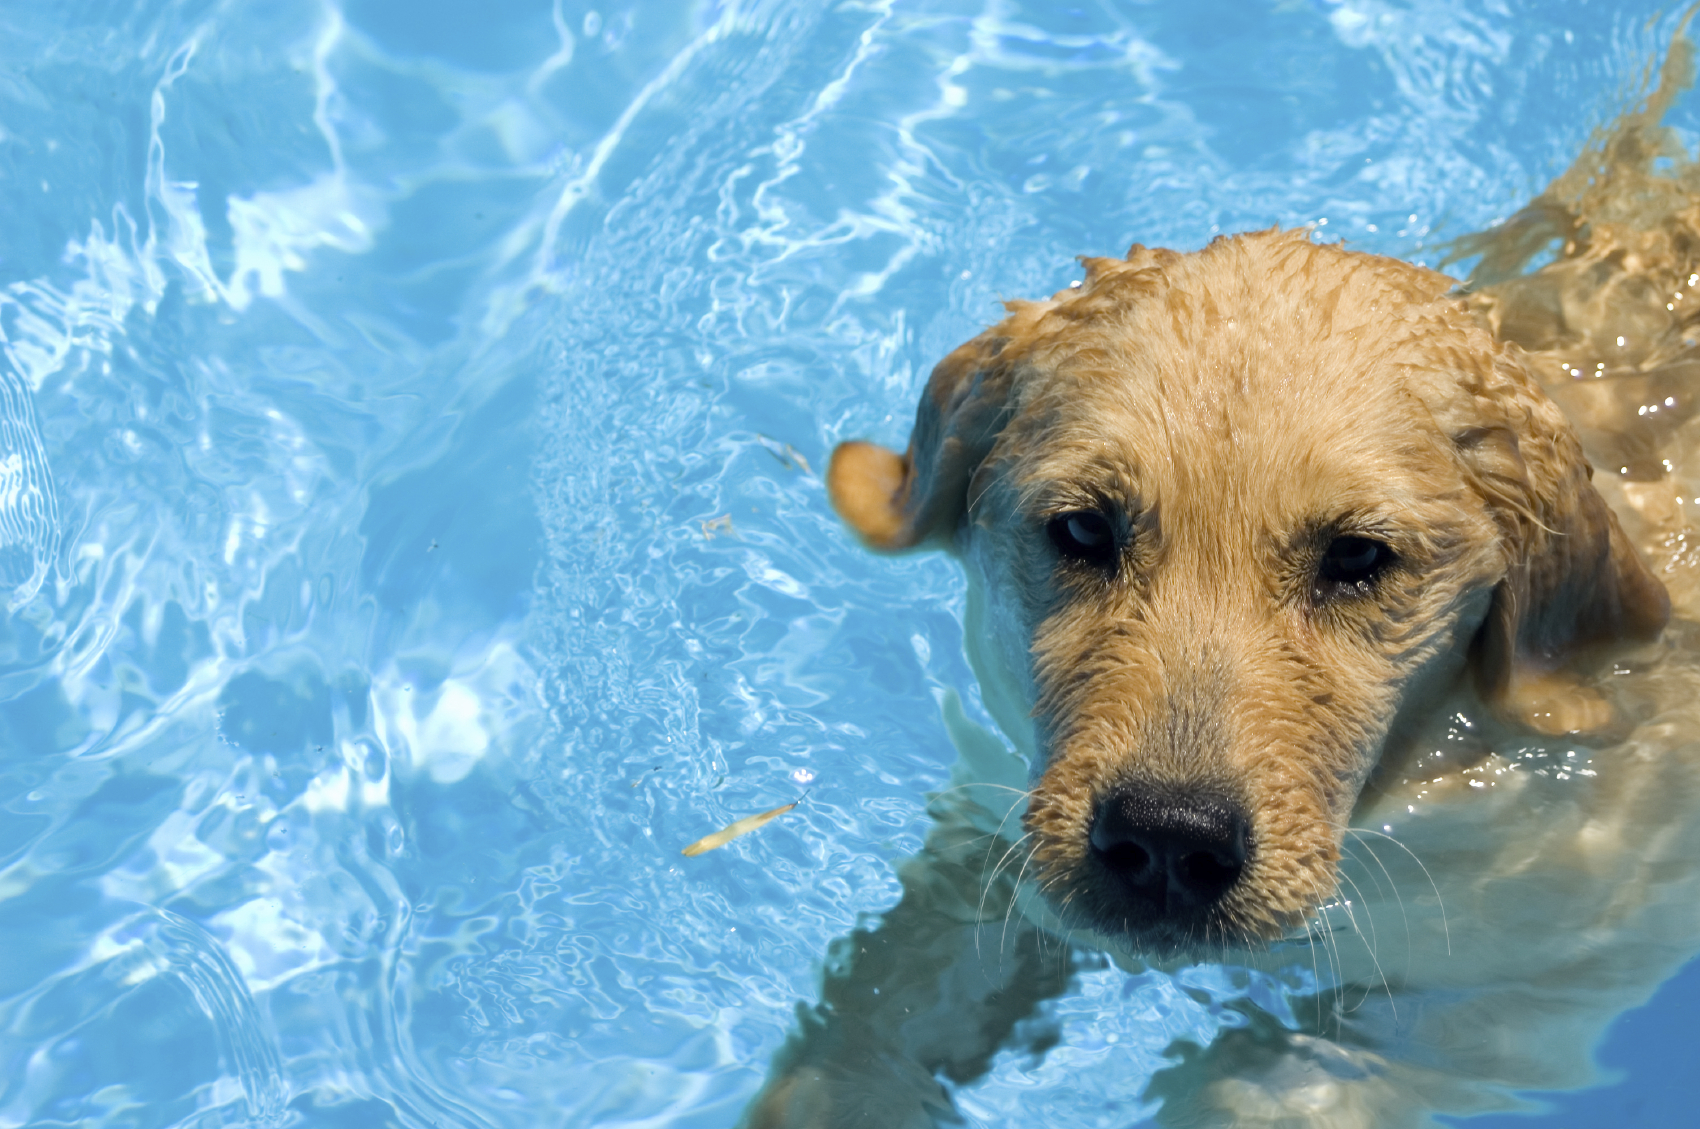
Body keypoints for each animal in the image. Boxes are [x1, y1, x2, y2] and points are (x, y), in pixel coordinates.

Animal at [751, 24, 1700, 1129]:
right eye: (1083, 527)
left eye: (1356, 557)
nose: (1167, 841)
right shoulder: (996, 823)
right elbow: (881, 1002)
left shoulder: (1516, 988)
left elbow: (1269, 1080)